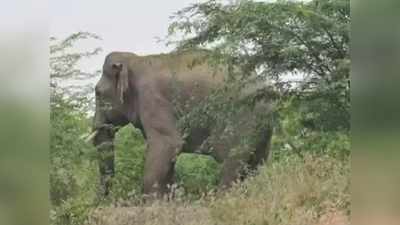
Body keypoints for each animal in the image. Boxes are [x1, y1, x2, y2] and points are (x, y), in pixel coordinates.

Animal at [89, 49, 274, 197]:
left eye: (98, 93)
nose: (103, 199)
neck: (135, 60)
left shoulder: (153, 99)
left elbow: (167, 144)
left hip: (242, 119)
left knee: (232, 162)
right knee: (254, 165)